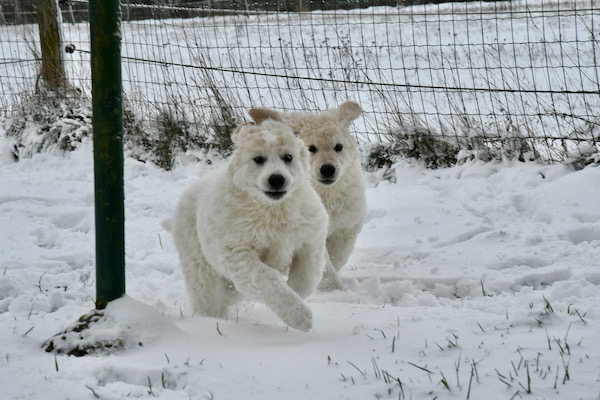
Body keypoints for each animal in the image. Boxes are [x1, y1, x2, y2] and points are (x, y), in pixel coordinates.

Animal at [163, 115, 328, 332]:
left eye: (288, 157)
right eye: (258, 159)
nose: (277, 179)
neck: (273, 210)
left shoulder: (310, 239)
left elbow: (306, 279)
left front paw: (296, 295)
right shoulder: (238, 253)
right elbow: (266, 278)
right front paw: (299, 316)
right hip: (199, 264)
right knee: (210, 296)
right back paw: (210, 320)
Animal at [248, 102, 366, 290]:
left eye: (338, 147)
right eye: (311, 149)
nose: (328, 169)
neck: (325, 194)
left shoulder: (347, 225)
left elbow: (337, 255)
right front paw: (331, 286)